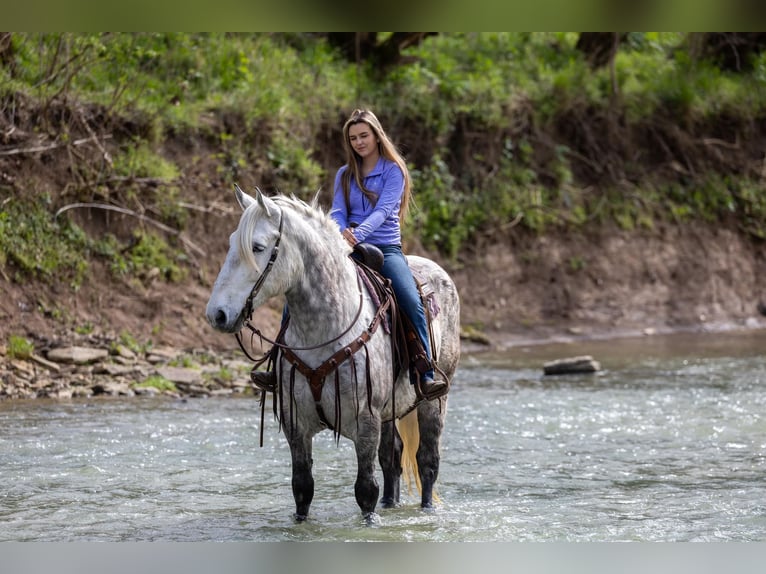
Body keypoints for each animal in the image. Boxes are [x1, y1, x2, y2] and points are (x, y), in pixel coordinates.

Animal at [206, 187, 462, 524]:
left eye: (257, 247)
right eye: (231, 243)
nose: (217, 314)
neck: (324, 329)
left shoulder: (365, 421)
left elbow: (365, 490)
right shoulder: (296, 424)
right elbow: (303, 487)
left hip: (434, 401)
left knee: (427, 461)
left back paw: (427, 509)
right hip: (391, 410)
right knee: (391, 458)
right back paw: (390, 504)